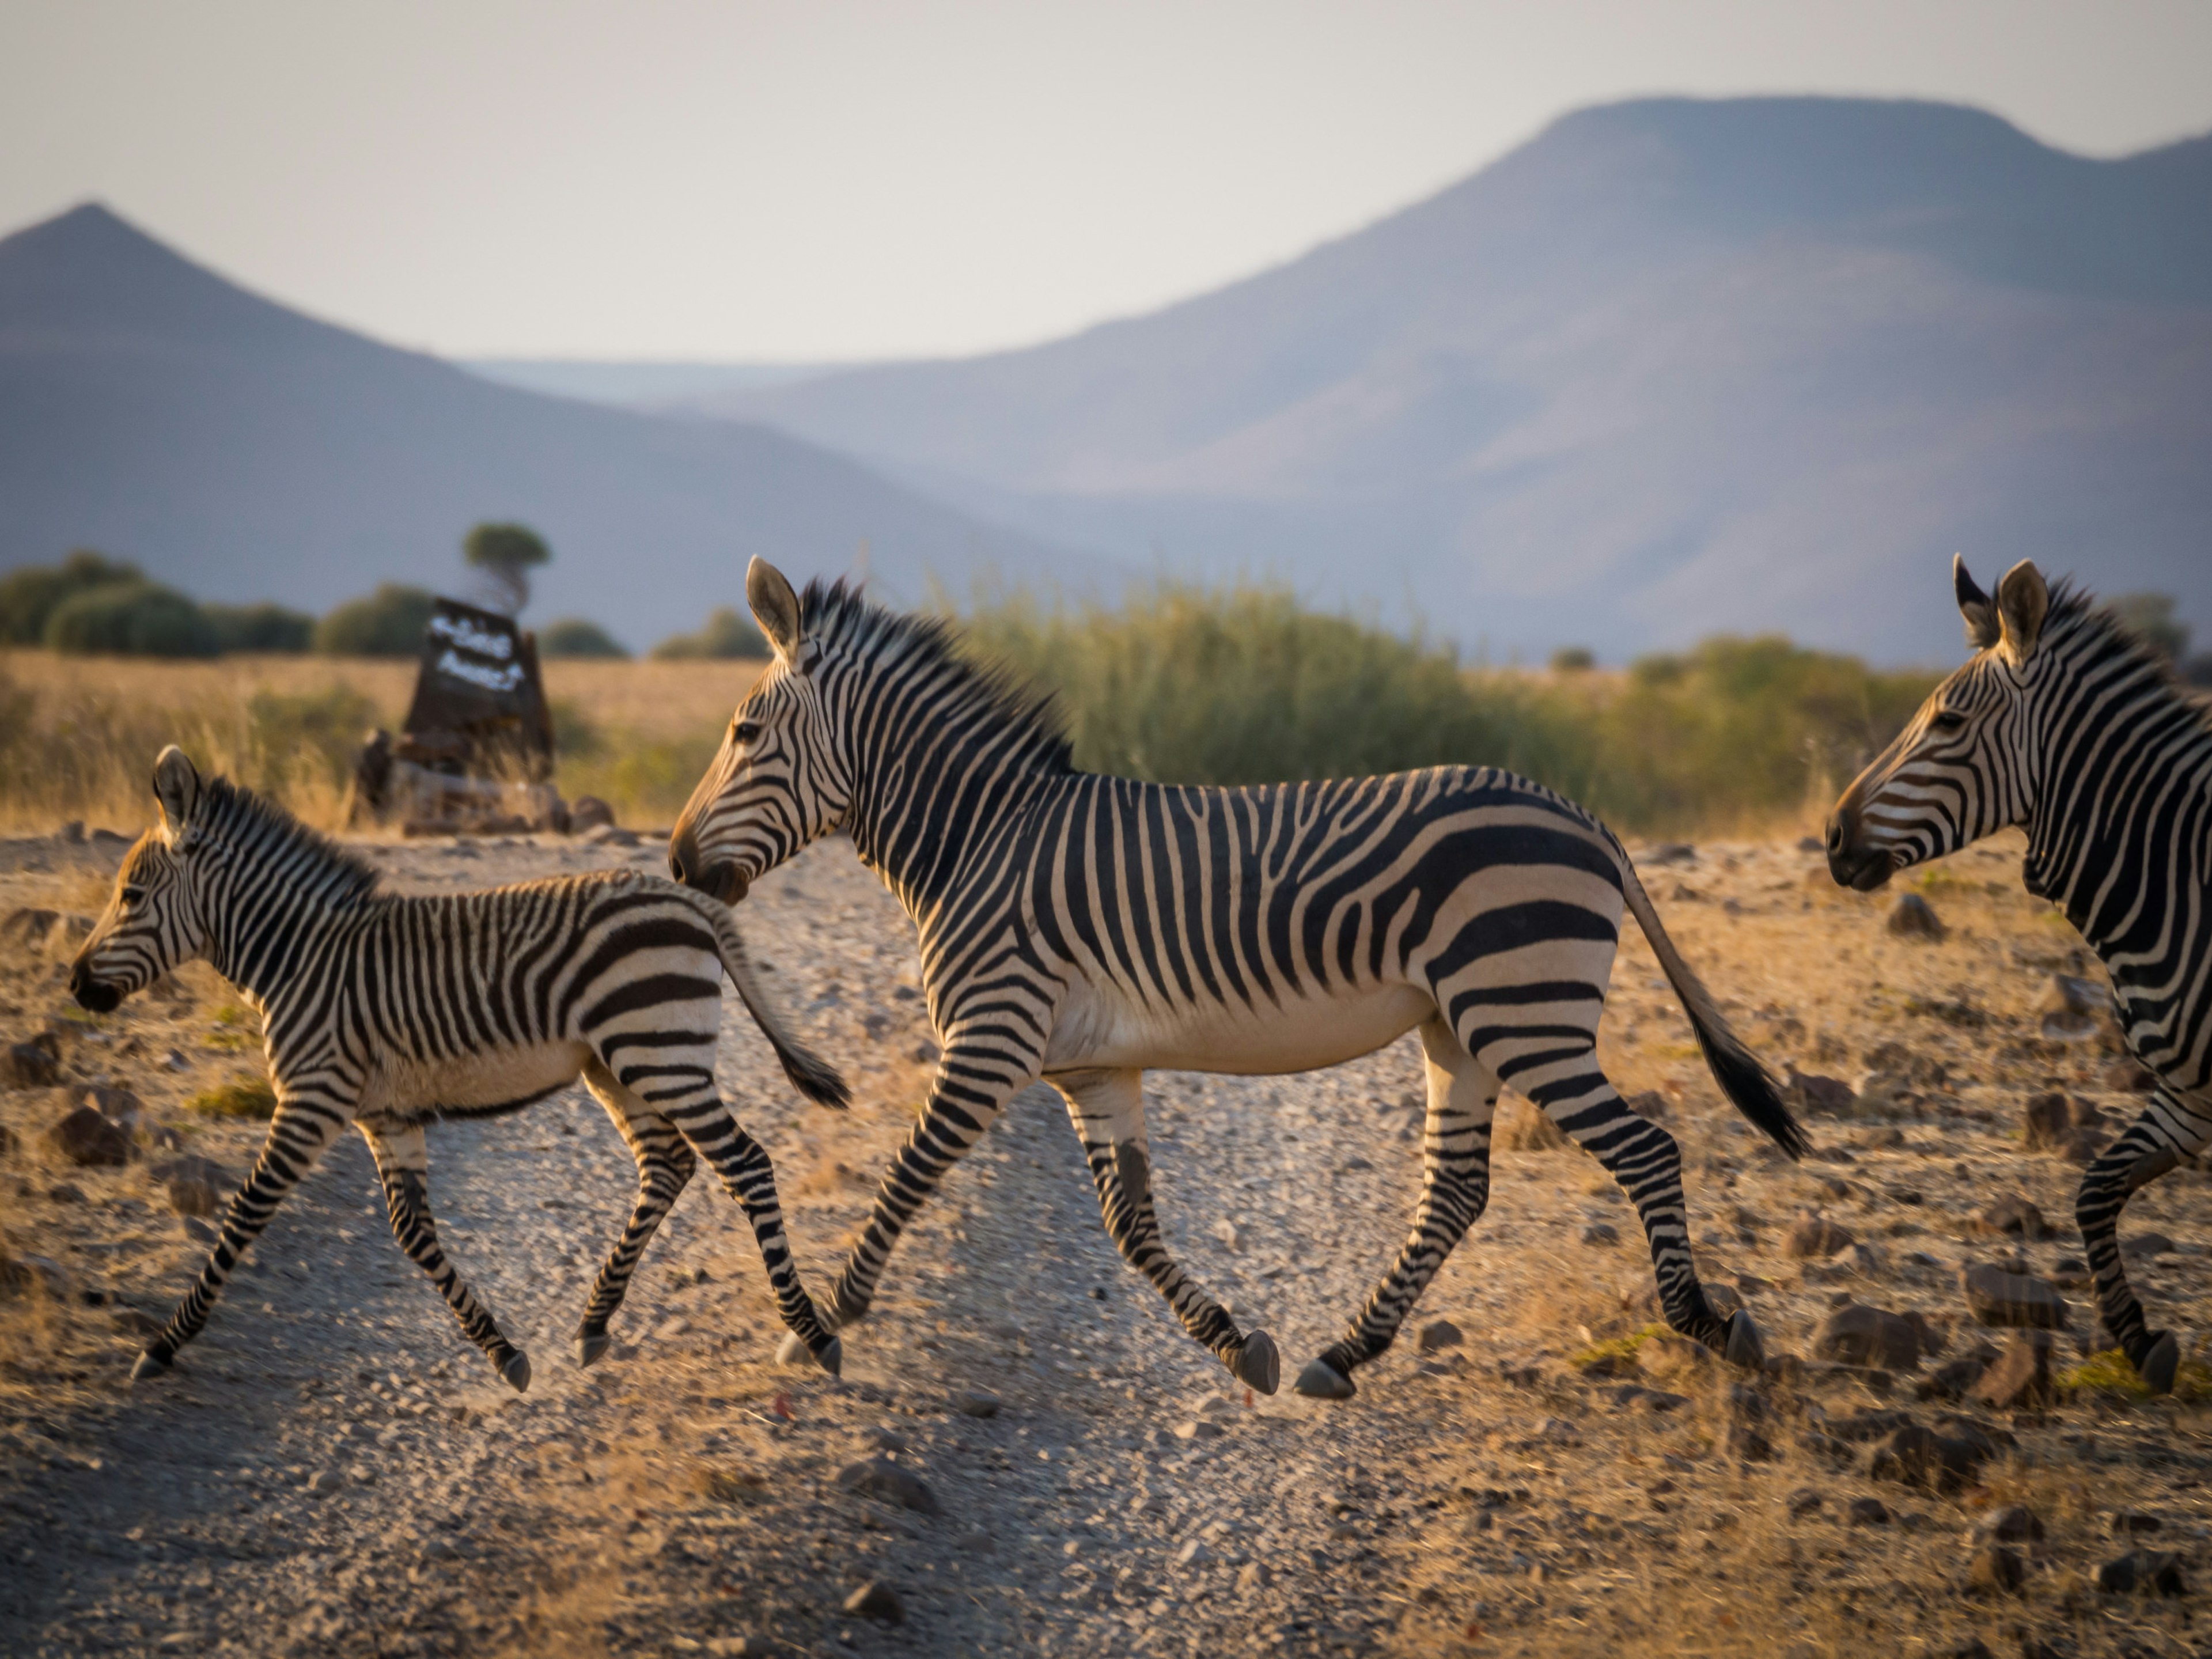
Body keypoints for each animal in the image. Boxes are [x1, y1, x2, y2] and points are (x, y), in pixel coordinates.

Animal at [67, 752, 844, 1389]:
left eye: (130, 897)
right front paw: (503, 1353)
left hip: (661, 1054)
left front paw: (163, 1345)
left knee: (744, 1163)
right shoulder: (385, 1114)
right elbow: (412, 1232)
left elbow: (245, 1212)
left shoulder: (313, 1098)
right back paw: (595, 1324)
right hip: (622, 1064)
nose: (75, 986)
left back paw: (811, 1331)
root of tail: (689, 897)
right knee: (669, 1165)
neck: (297, 961)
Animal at [668, 562, 1796, 1407]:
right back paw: (1342, 1354)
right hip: (1461, 1026)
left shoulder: (992, 1036)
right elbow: (1130, 1227)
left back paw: (1706, 1324)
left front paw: (821, 1327)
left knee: (1645, 1151)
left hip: (1526, 1016)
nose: (676, 862)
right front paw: (1233, 1342)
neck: (975, 842)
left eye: (744, 735)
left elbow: (906, 1175)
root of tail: (1580, 815)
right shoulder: (1091, 1069)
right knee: (1457, 1190)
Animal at [1831, 566, 2212, 1397]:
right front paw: (2139, 1341)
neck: (2180, 883)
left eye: (1947, 722)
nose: (1832, 839)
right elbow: (2093, 1189)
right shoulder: (2187, 1096)